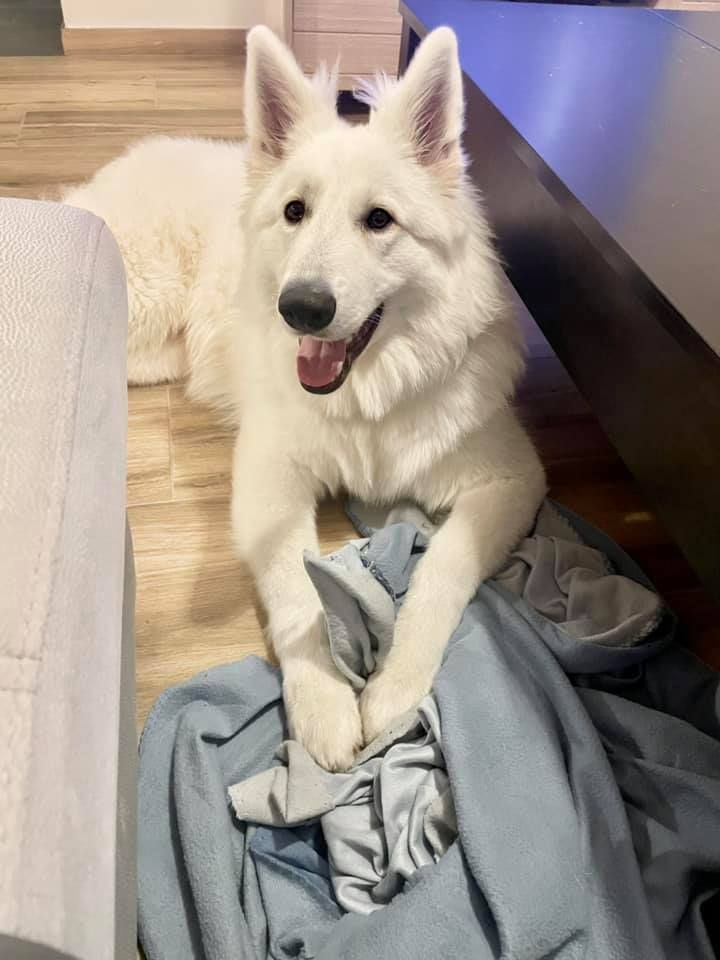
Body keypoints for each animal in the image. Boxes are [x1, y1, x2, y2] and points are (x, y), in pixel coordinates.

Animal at [63, 25, 546, 771]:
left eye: (379, 221)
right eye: (295, 211)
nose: (301, 309)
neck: (370, 394)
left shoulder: (511, 481)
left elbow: (443, 568)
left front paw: (394, 691)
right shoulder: (269, 477)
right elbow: (296, 587)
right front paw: (322, 705)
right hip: (139, 297)